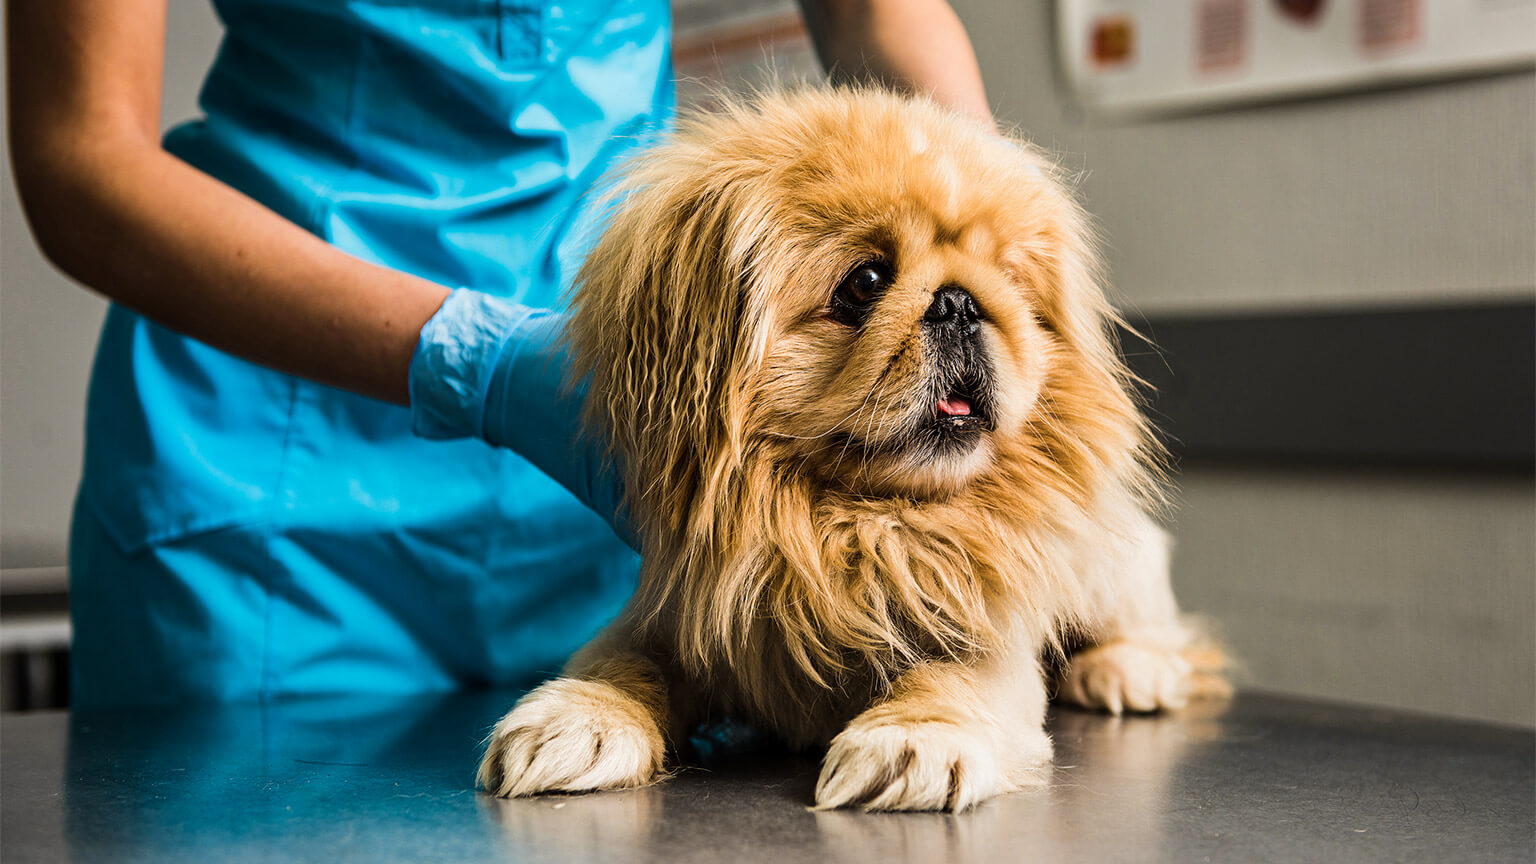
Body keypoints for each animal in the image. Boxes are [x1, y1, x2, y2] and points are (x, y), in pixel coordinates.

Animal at [479, 87, 1222, 805]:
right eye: (863, 284)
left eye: (1010, 279)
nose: (959, 301)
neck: (856, 526)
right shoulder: (672, 612)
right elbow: (620, 664)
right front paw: (575, 721)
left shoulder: (985, 623)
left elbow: (952, 681)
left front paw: (915, 741)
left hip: (1108, 566)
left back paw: (1125, 670)